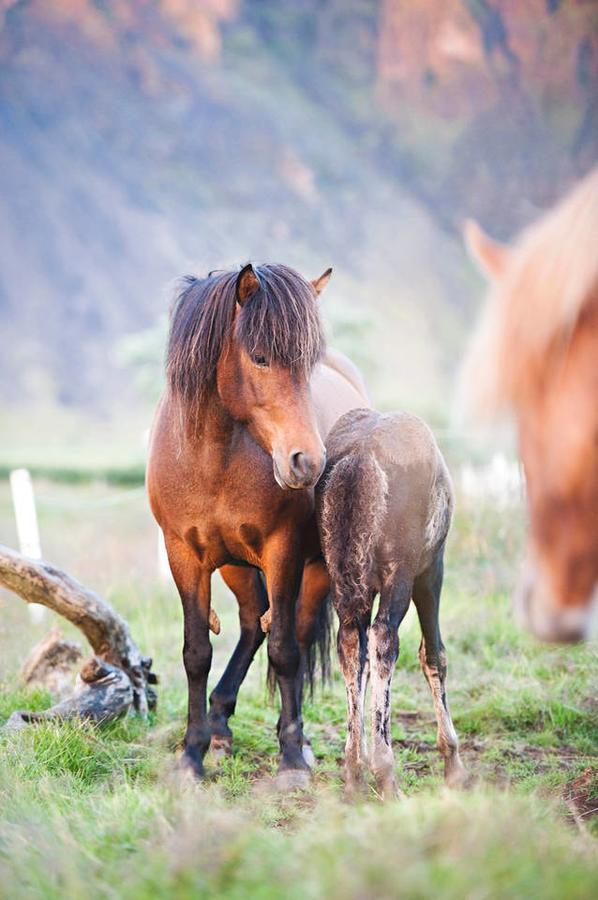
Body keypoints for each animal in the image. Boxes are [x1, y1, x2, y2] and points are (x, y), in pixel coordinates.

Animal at [146, 260, 370, 780]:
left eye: (307, 364)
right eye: (261, 358)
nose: (307, 462)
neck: (214, 458)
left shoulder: (281, 551)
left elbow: (285, 650)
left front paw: (290, 759)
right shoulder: (183, 555)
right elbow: (196, 652)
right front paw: (192, 755)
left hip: (316, 567)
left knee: (295, 636)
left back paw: (298, 739)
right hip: (233, 564)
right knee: (252, 623)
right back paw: (220, 725)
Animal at [318, 412, 468, 800]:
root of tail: (359, 458)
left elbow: (363, 669)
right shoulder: (430, 569)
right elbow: (434, 654)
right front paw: (453, 766)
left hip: (343, 577)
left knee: (351, 644)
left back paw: (355, 773)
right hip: (400, 573)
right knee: (385, 638)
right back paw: (387, 776)